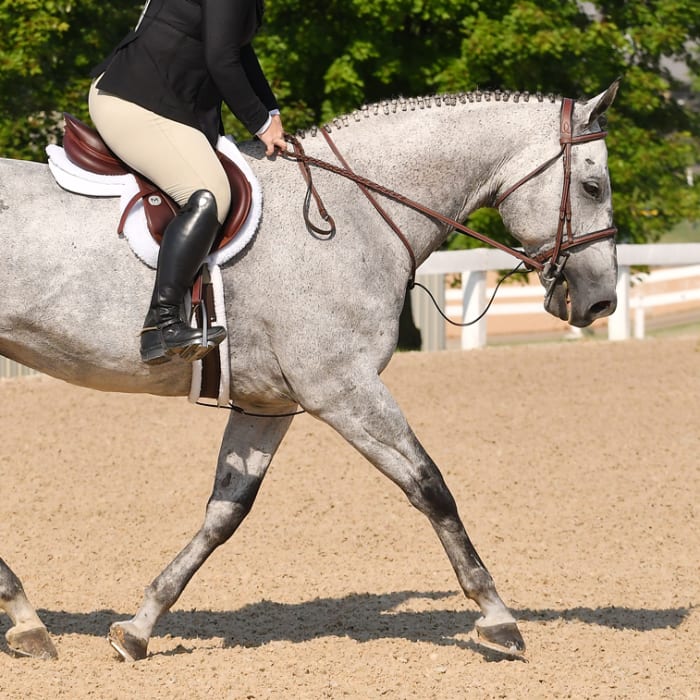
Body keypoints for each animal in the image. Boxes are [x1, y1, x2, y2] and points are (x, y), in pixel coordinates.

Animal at [0, 83, 616, 660]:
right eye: (593, 187)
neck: (357, 210)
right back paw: (26, 617)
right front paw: (498, 617)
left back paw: (27, 619)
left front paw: (139, 627)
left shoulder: (270, 404)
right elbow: (430, 486)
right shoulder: (342, 388)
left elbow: (226, 512)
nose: (600, 301)